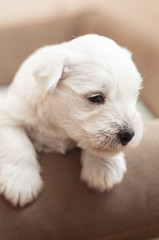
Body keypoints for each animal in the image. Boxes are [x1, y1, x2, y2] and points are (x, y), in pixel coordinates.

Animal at [0, 33, 143, 206]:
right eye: (96, 97)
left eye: (134, 96)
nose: (129, 135)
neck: (58, 124)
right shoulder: (9, 117)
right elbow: (17, 146)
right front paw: (21, 183)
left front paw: (103, 168)